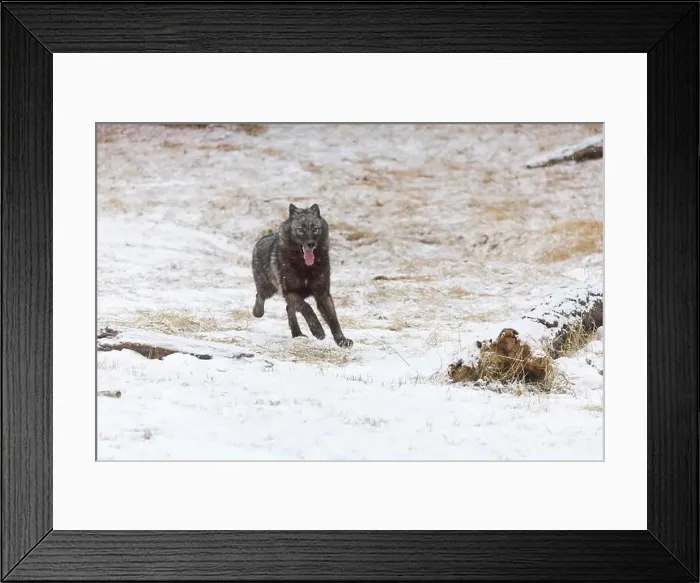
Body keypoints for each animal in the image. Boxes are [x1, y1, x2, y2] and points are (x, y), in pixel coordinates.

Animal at [251, 203, 353, 348]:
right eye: (300, 229)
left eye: (315, 229)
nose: (310, 244)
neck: (305, 267)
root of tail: (262, 239)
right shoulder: (290, 292)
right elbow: (307, 307)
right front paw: (317, 330)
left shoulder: (323, 294)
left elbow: (333, 318)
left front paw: (341, 340)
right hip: (268, 289)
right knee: (260, 296)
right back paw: (258, 312)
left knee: (289, 308)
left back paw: (297, 334)